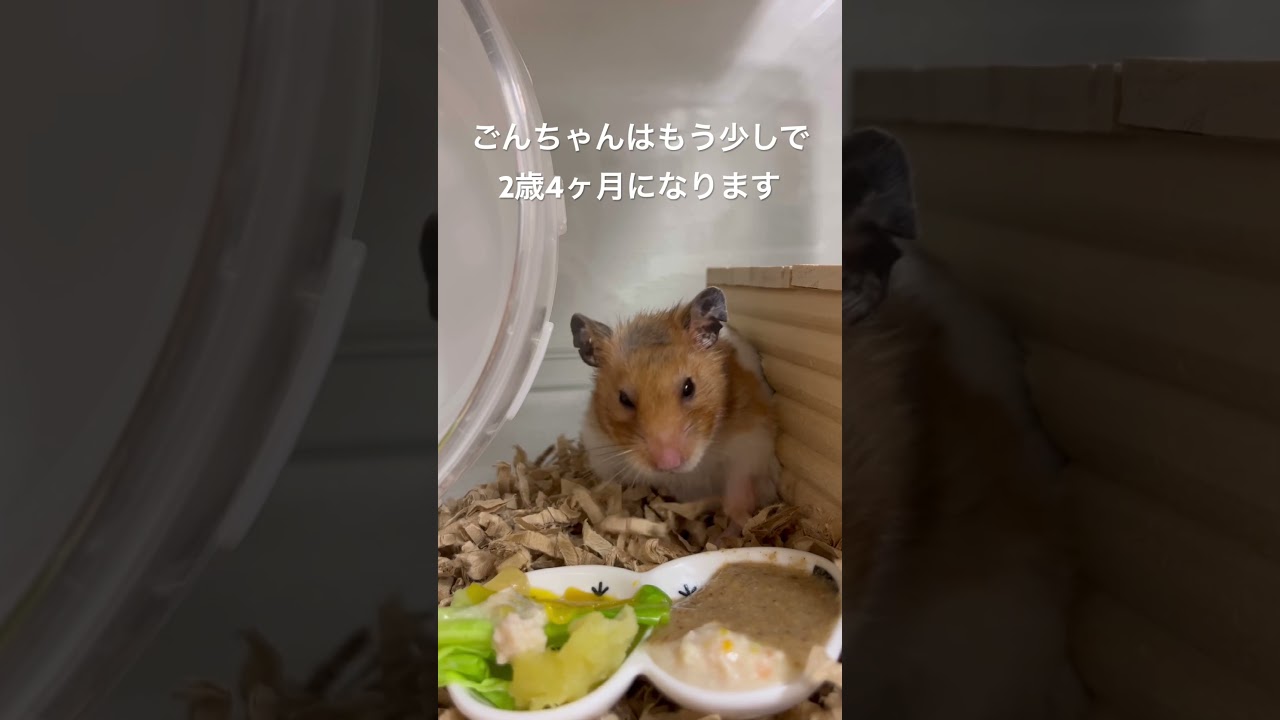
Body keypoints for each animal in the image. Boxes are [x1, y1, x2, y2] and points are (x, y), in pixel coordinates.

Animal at [569, 287, 780, 527]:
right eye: (623, 399)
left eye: (689, 387)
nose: (668, 463)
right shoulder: (602, 452)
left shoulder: (753, 439)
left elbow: (740, 479)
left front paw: (742, 520)